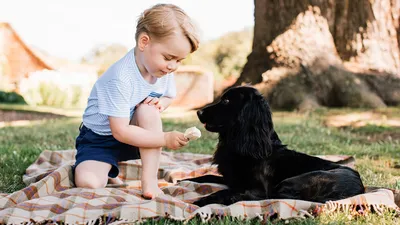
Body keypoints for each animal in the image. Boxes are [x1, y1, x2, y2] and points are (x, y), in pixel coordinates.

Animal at [186, 86, 364, 207]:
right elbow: (205, 177)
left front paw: (201, 201)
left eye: (226, 101)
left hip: (293, 181)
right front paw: (184, 180)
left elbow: (226, 191)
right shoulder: (231, 179)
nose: (198, 112)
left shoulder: (257, 189)